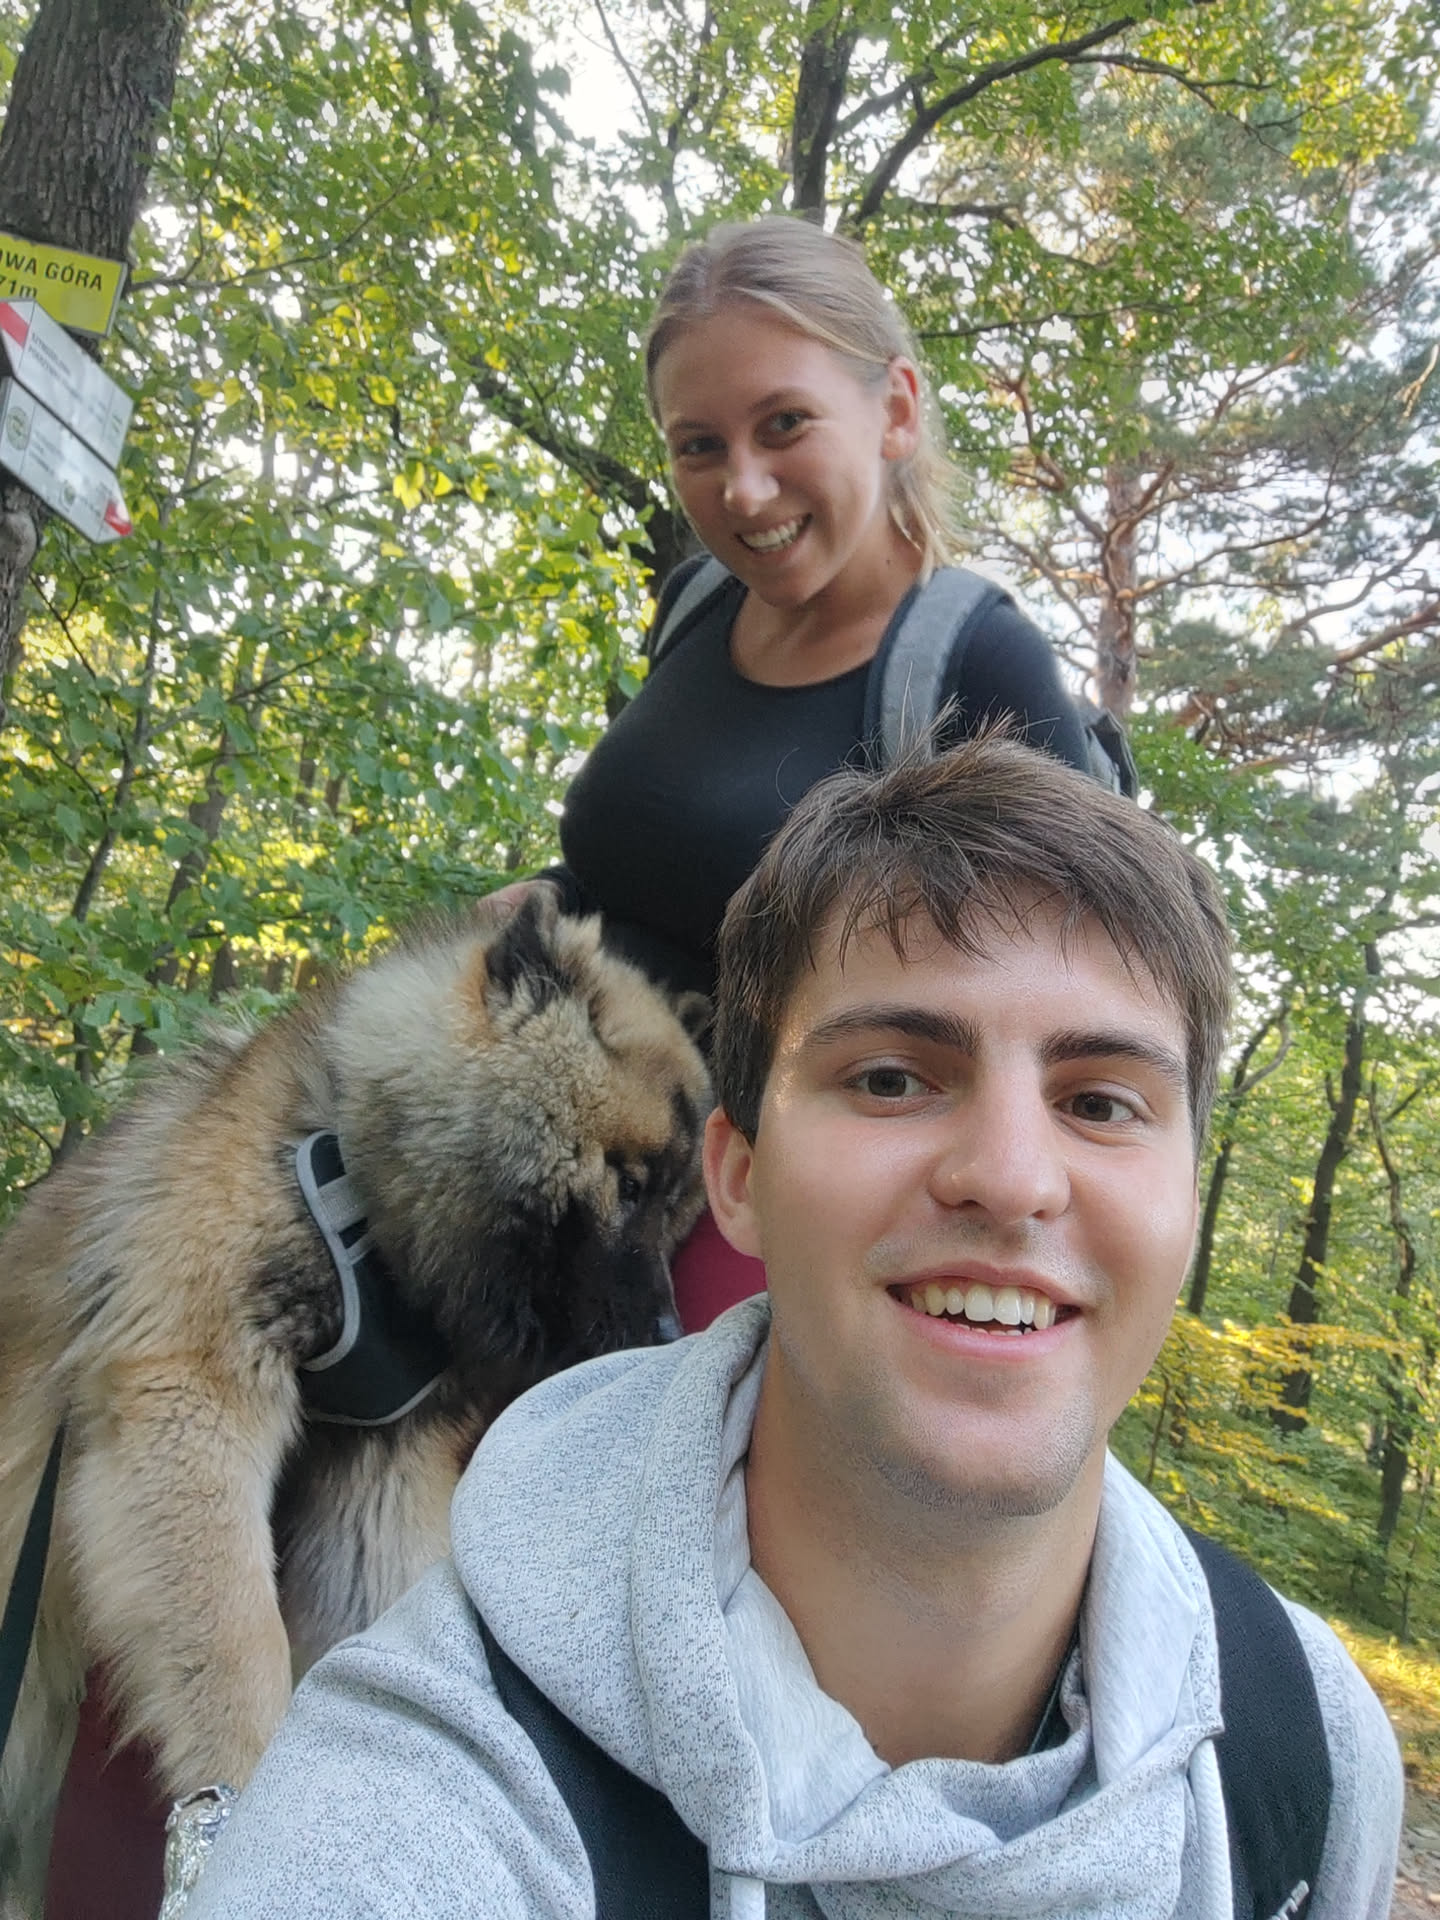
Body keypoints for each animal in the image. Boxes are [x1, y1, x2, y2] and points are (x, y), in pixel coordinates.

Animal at [0, 890, 710, 1907]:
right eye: (629, 1181)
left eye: (680, 1214)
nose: (665, 1331)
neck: (364, 1195)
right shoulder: (193, 1396)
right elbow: (239, 1641)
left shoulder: (378, 1467)